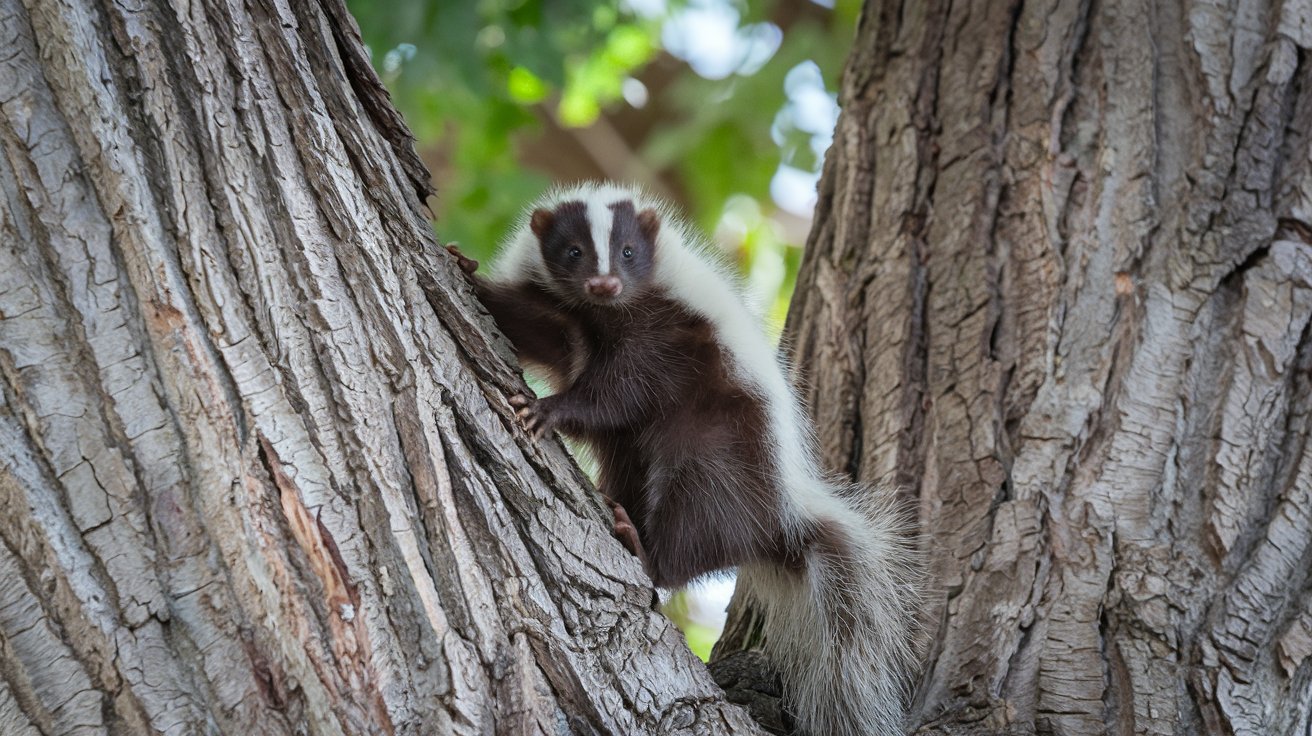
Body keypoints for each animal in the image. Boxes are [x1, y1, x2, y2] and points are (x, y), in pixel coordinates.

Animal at [451, 179, 923, 734]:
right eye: (573, 252)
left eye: (628, 252)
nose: (604, 284)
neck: (601, 315)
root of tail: (783, 513)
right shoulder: (564, 312)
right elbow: (532, 327)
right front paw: (466, 269)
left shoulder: (671, 336)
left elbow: (623, 389)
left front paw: (549, 409)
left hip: (721, 454)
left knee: (691, 524)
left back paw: (640, 546)